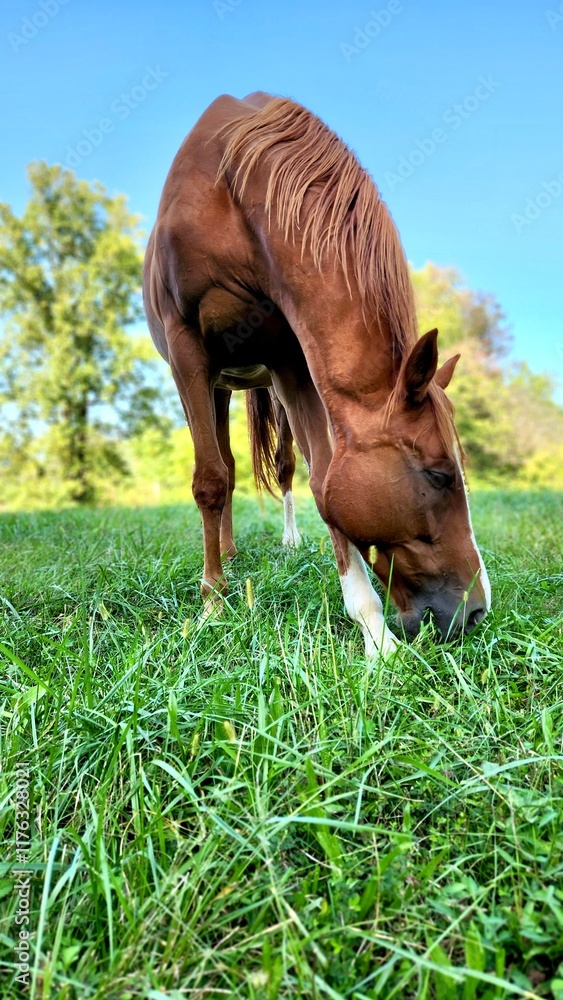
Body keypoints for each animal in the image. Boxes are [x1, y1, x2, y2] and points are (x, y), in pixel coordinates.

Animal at [143, 91, 491, 656]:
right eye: (439, 476)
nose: (477, 611)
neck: (231, 195)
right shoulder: (186, 351)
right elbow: (210, 482)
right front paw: (212, 604)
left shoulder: (289, 359)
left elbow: (324, 478)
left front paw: (373, 632)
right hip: (212, 385)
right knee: (223, 470)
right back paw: (225, 563)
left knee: (269, 467)